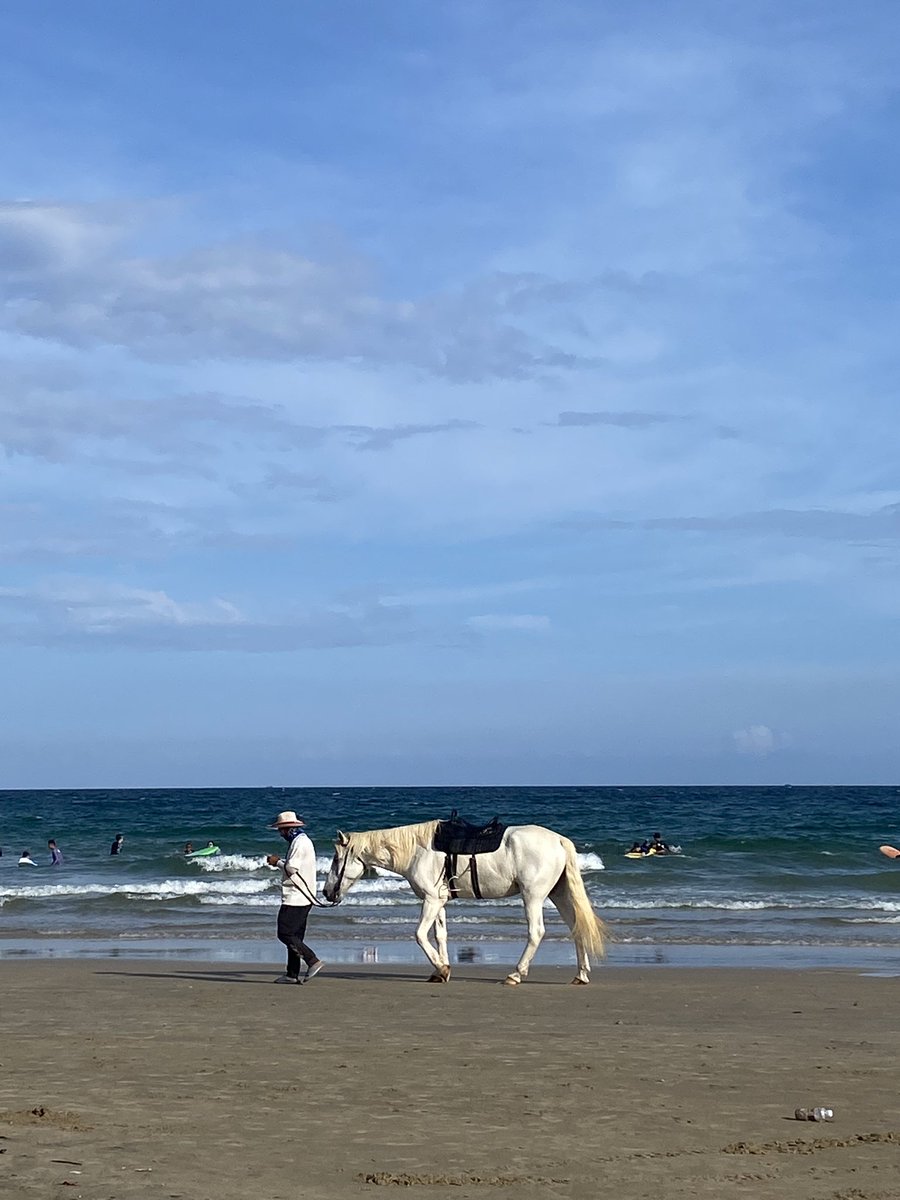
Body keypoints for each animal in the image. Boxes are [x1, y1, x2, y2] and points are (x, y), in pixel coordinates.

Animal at [322, 819, 607, 985]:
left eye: (336, 859)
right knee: (577, 927)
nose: (326, 893)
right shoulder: (438, 901)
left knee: (536, 932)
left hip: (533, 896)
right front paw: (441, 970)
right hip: (558, 894)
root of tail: (558, 839)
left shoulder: (431, 900)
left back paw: (515, 974)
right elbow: (440, 935)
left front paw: (441, 967)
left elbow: (420, 935)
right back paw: (581, 975)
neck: (418, 851)